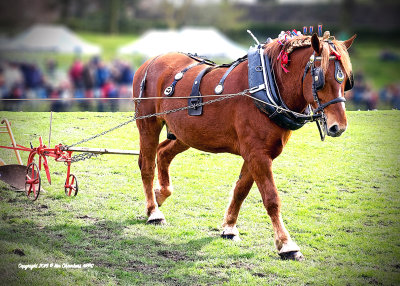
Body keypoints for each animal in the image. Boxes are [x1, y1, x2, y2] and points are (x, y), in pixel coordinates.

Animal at [133, 33, 354, 262]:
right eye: (320, 78)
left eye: (346, 80)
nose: (339, 126)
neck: (267, 85)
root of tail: (152, 61)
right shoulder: (257, 154)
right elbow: (271, 199)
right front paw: (286, 244)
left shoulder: (257, 153)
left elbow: (241, 190)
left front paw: (229, 228)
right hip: (148, 124)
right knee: (147, 166)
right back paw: (153, 211)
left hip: (185, 134)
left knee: (163, 153)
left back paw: (160, 194)